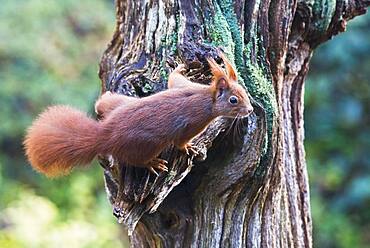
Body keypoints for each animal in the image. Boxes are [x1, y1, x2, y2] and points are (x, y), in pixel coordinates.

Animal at [23, 52, 254, 176]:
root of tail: (104, 136)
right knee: (132, 160)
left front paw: (179, 68)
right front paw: (190, 148)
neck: (206, 98)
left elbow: (173, 79)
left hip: (120, 103)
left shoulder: (183, 86)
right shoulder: (193, 122)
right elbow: (181, 141)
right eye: (233, 100)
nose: (250, 110)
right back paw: (152, 164)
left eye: (245, 92)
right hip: (147, 144)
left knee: (103, 104)